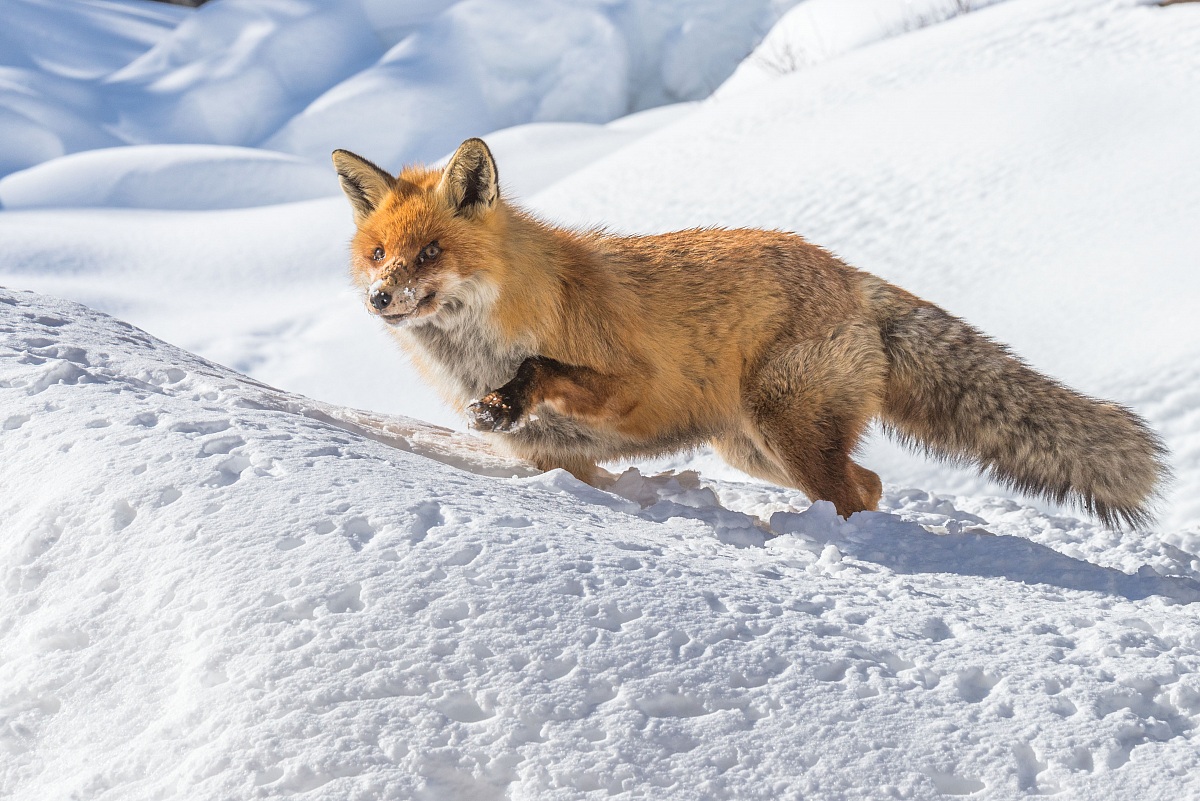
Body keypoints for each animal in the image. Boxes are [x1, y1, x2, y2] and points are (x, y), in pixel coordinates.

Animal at [332, 138, 1169, 528]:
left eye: (429, 253)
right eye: (377, 253)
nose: (380, 297)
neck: (480, 349)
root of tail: (850, 274)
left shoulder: (629, 387)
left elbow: (542, 366)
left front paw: (507, 397)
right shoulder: (559, 460)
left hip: (785, 430)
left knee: (856, 492)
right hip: (753, 447)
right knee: (870, 484)